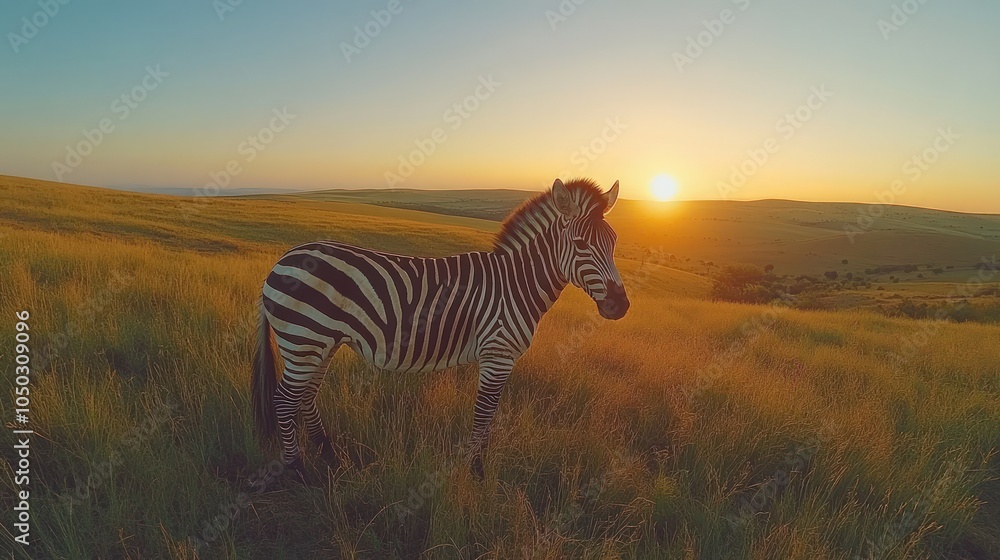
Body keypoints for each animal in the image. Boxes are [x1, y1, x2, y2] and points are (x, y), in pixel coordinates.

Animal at [252, 178, 630, 481]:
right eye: (580, 244)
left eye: (614, 241)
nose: (620, 306)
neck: (515, 284)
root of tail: (282, 260)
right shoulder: (497, 354)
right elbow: (484, 415)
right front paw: (476, 473)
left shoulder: (499, 358)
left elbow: (488, 418)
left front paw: (476, 468)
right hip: (304, 339)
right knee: (285, 400)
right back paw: (298, 471)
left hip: (320, 343)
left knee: (305, 397)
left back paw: (330, 455)